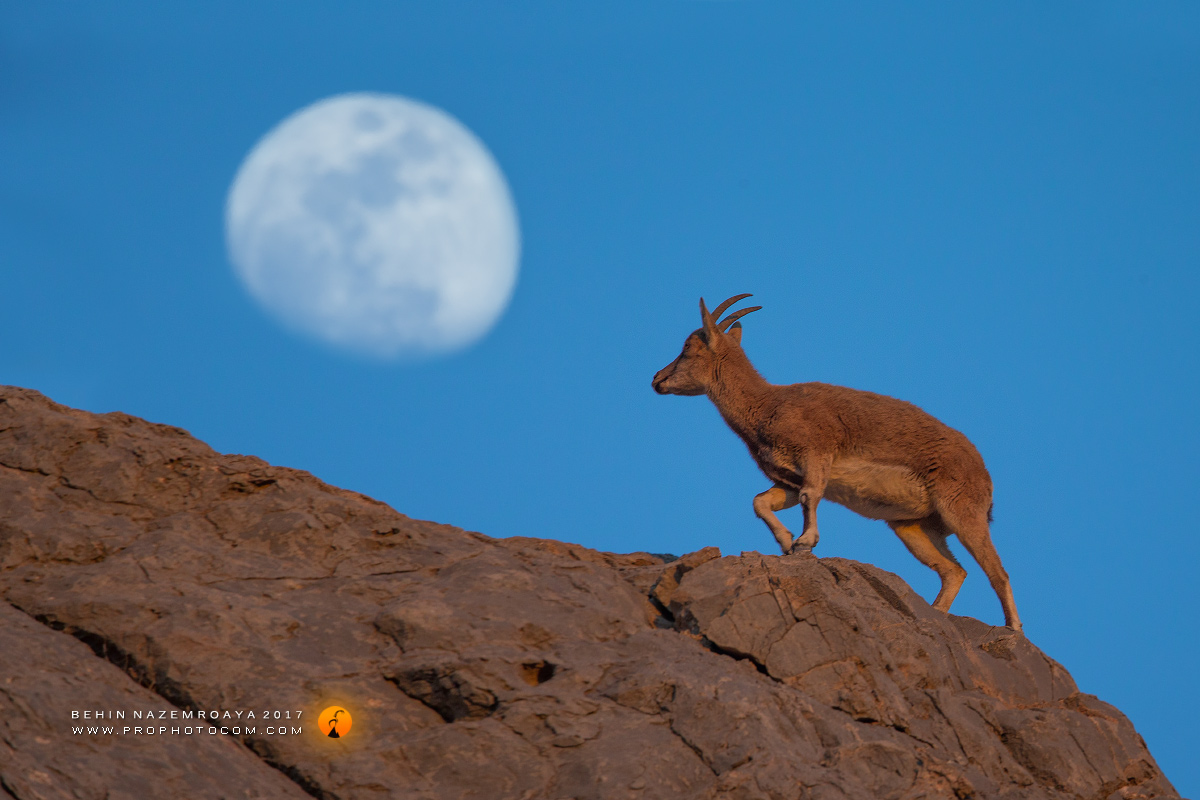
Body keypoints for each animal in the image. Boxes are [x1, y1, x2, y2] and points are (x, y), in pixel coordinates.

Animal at [652, 294, 1021, 630]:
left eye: (688, 348)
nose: (657, 379)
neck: (766, 407)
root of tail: (984, 472)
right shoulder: (788, 478)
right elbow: (761, 501)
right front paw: (787, 543)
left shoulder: (817, 454)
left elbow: (811, 496)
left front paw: (805, 542)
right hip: (914, 526)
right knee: (954, 571)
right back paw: (938, 615)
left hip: (963, 512)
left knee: (997, 571)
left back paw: (1013, 628)